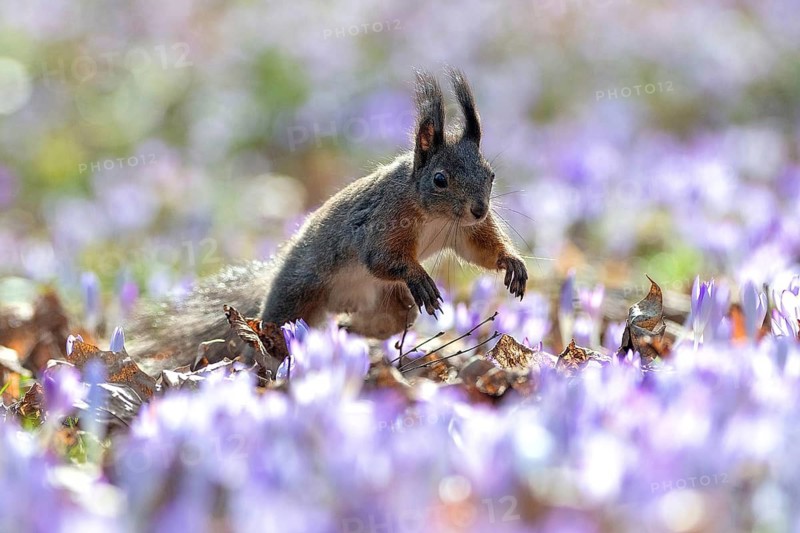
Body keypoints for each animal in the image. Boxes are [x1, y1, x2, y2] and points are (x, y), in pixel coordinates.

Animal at [128, 68, 528, 375]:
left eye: (490, 174)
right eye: (440, 179)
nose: (479, 209)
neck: (434, 215)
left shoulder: (464, 231)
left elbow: (478, 249)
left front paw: (511, 262)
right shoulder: (384, 220)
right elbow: (381, 258)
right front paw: (419, 276)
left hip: (387, 300)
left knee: (385, 322)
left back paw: (347, 329)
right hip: (296, 299)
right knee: (277, 331)